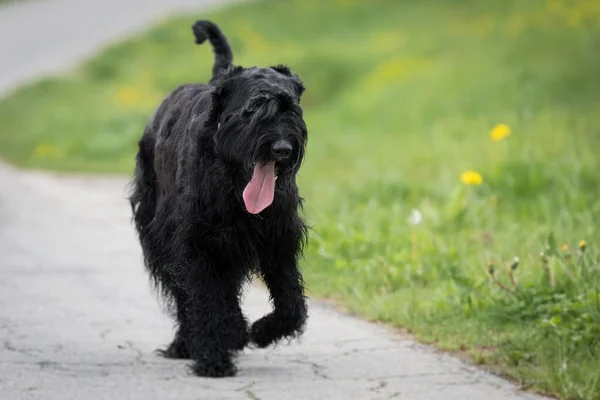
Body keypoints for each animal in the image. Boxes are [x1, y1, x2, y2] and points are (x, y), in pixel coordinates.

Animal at [130, 20, 310, 376]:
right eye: (253, 109)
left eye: (292, 109)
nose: (282, 148)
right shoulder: (197, 244)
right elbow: (207, 299)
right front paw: (216, 356)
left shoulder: (278, 241)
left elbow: (291, 302)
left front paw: (261, 331)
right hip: (160, 234)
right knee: (185, 297)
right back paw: (187, 343)